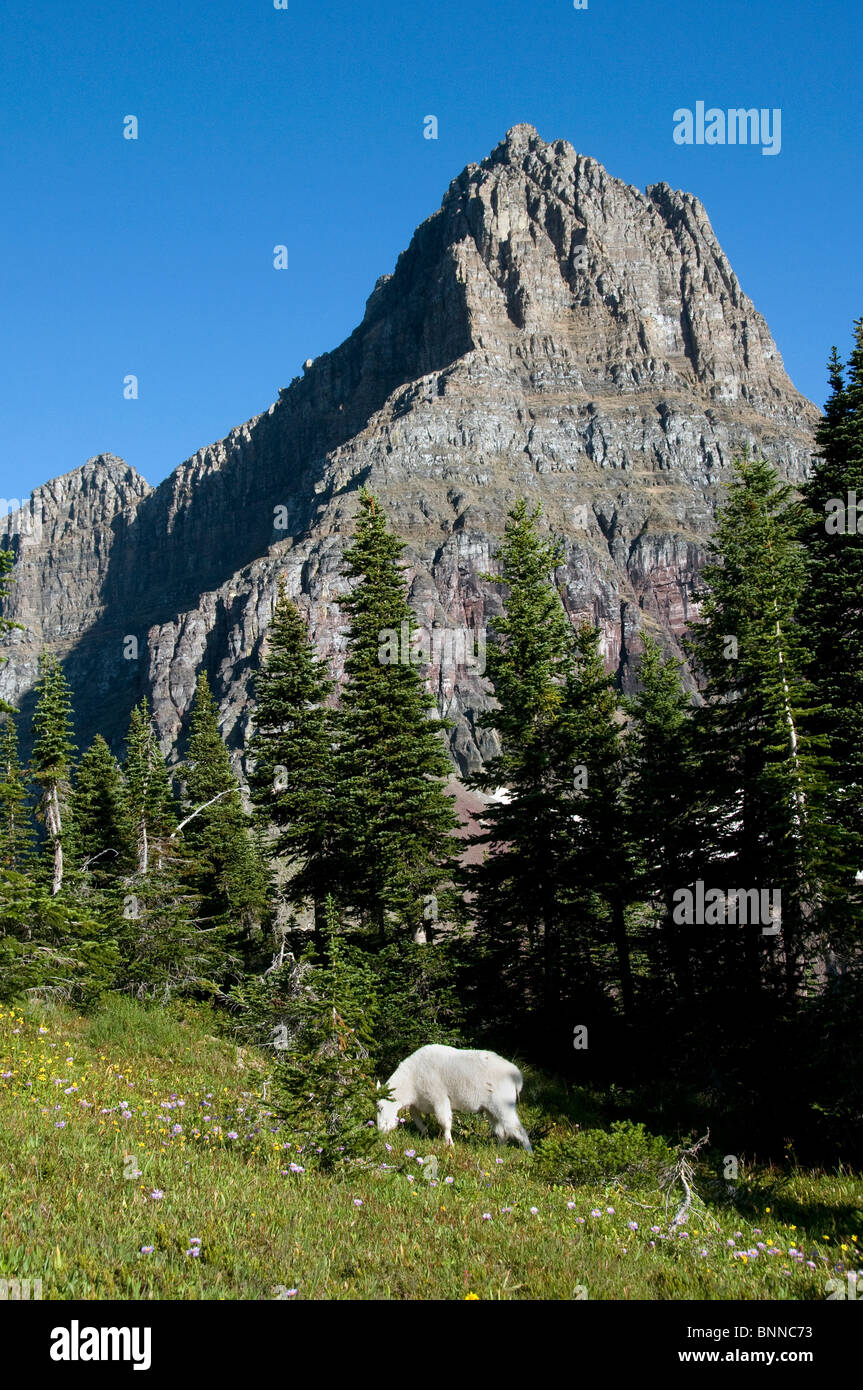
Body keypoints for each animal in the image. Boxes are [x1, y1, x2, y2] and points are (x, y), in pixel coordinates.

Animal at [377, 1045, 530, 1150]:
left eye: (380, 1107)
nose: (380, 1131)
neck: (411, 1080)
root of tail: (517, 1078)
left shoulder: (439, 1098)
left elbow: (444, 1122)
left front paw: (449, 1144)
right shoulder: (418, 1101)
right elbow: (415, 1115)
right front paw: (425, 1132)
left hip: (504, 1105)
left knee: (518, 1129)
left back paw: (529, 1153)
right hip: (491, 1109)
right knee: (501, 1131)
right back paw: (499, 1150)